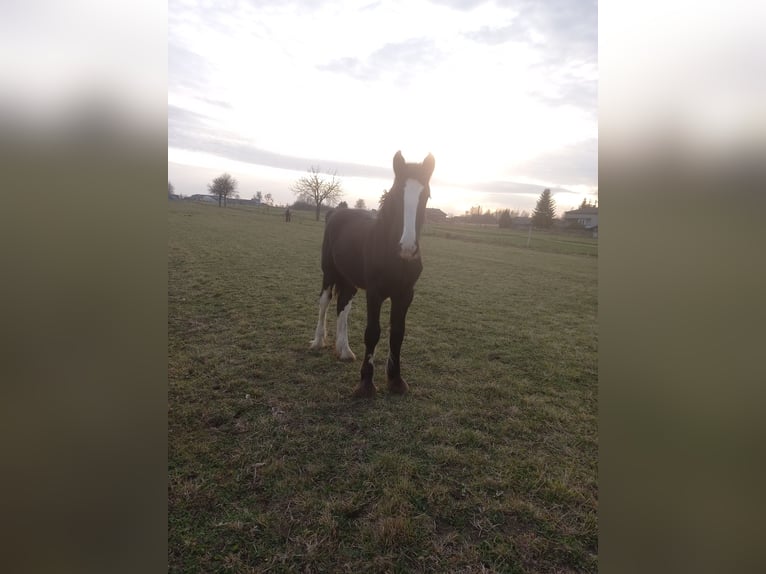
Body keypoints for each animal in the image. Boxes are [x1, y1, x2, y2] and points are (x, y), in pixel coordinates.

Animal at [309, 150, 435, 397]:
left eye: (426, 196)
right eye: (396, 195)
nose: (407, 248)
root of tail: (336, 212)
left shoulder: (405, 294)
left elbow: (397, 333)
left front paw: (396, 380)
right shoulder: (375, 293)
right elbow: (373, 332)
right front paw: (366, 384)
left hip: (349, 280)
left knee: (343, 306)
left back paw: (344, 350)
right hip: (329, 273)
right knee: (325, 303)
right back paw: (319, 341)